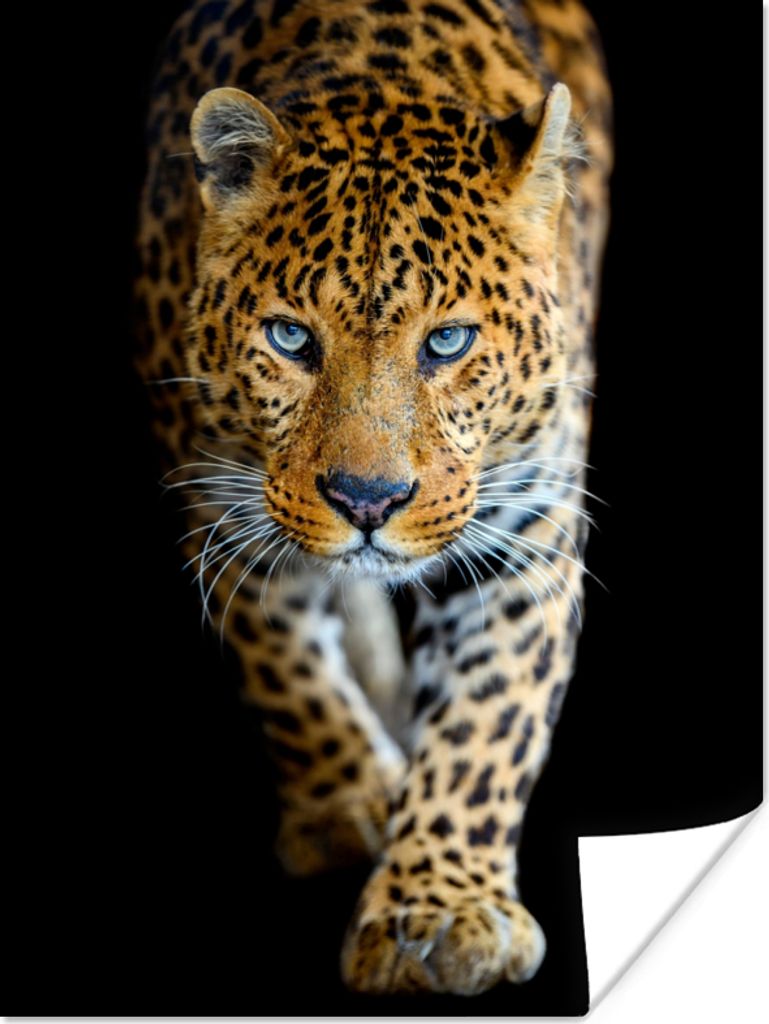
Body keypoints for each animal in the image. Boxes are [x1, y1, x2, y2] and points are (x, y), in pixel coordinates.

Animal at [133, 0, 613, 997]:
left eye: (447, 342)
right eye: (289, 338)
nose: (365, 501)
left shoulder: (529, 534)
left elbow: (486, 724)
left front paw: (438, 909)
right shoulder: (218, 499)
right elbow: (284, 670)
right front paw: (345, 800)